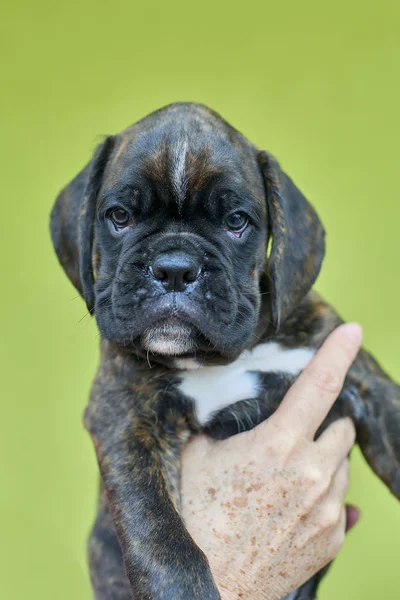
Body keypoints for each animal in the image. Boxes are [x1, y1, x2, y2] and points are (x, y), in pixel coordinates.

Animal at [50, 103, 400, 600]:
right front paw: (183, 590)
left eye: (237, 221)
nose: (175, 268)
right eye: (119, 216)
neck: (218, 359)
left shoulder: (363, 381)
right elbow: (155, 525)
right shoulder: (124, 416)